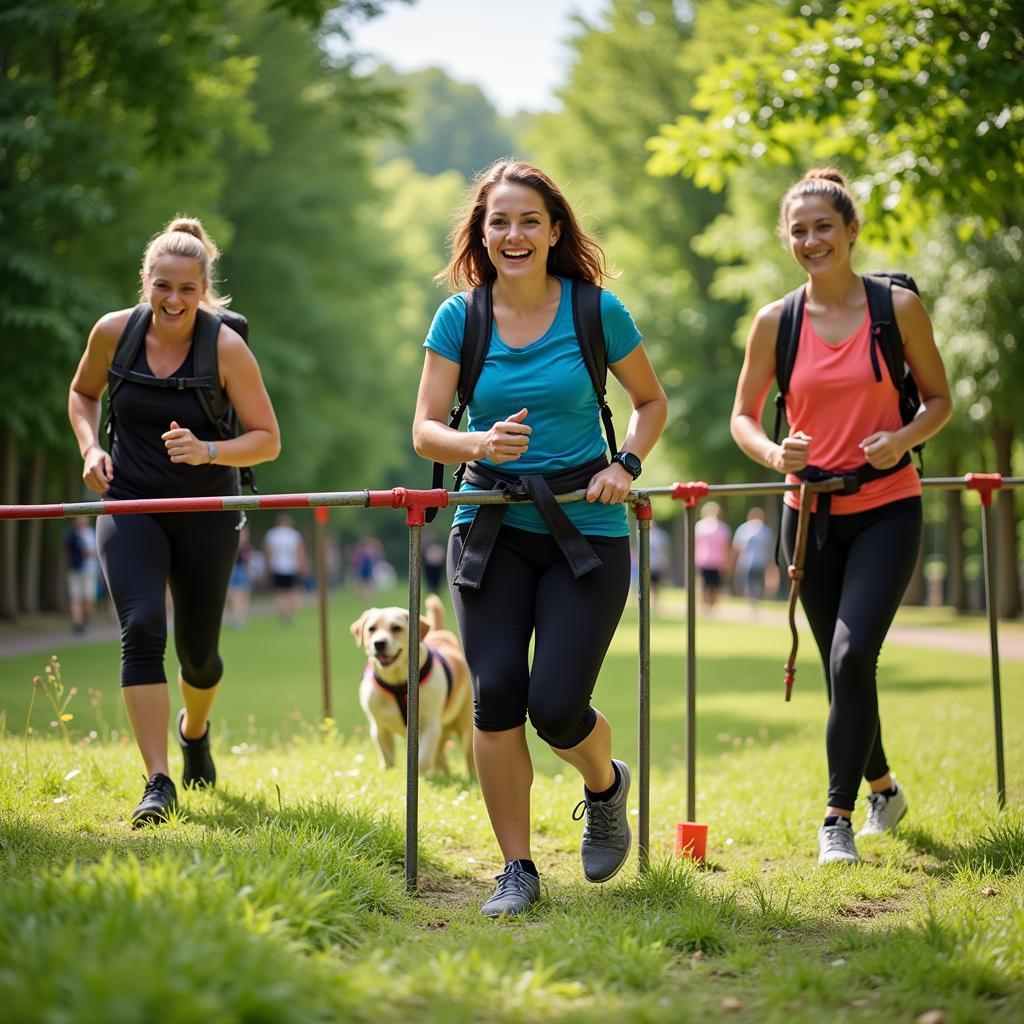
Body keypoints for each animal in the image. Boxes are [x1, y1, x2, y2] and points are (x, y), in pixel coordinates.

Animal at [352, 593, 475, 774]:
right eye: (371, 629)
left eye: (396, 628)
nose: (379, 643)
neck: (398, 682)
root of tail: (439, 633)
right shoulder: (379, 727)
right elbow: (387, 757)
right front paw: (388, 772)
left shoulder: (430, 725)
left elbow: (422, 759)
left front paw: (423, 776)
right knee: (440, 755)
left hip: (465, 725)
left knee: (468, 754)